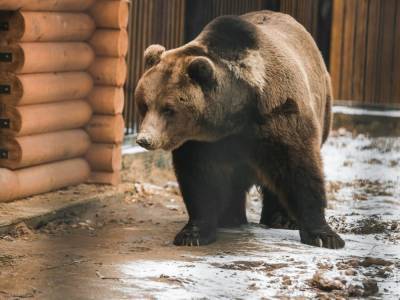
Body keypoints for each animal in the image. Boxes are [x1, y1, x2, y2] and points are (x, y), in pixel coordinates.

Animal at [134, 10, 344, 248]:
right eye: (144, 104)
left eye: (168, 109)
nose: (145, 139)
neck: (234, 115)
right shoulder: (202, 142)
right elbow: (198, 178)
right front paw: (193, 233)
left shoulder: (278, 113)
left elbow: (298, 167)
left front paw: (324, 236)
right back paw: (230, 217)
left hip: (323, 105)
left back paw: (281, 219)